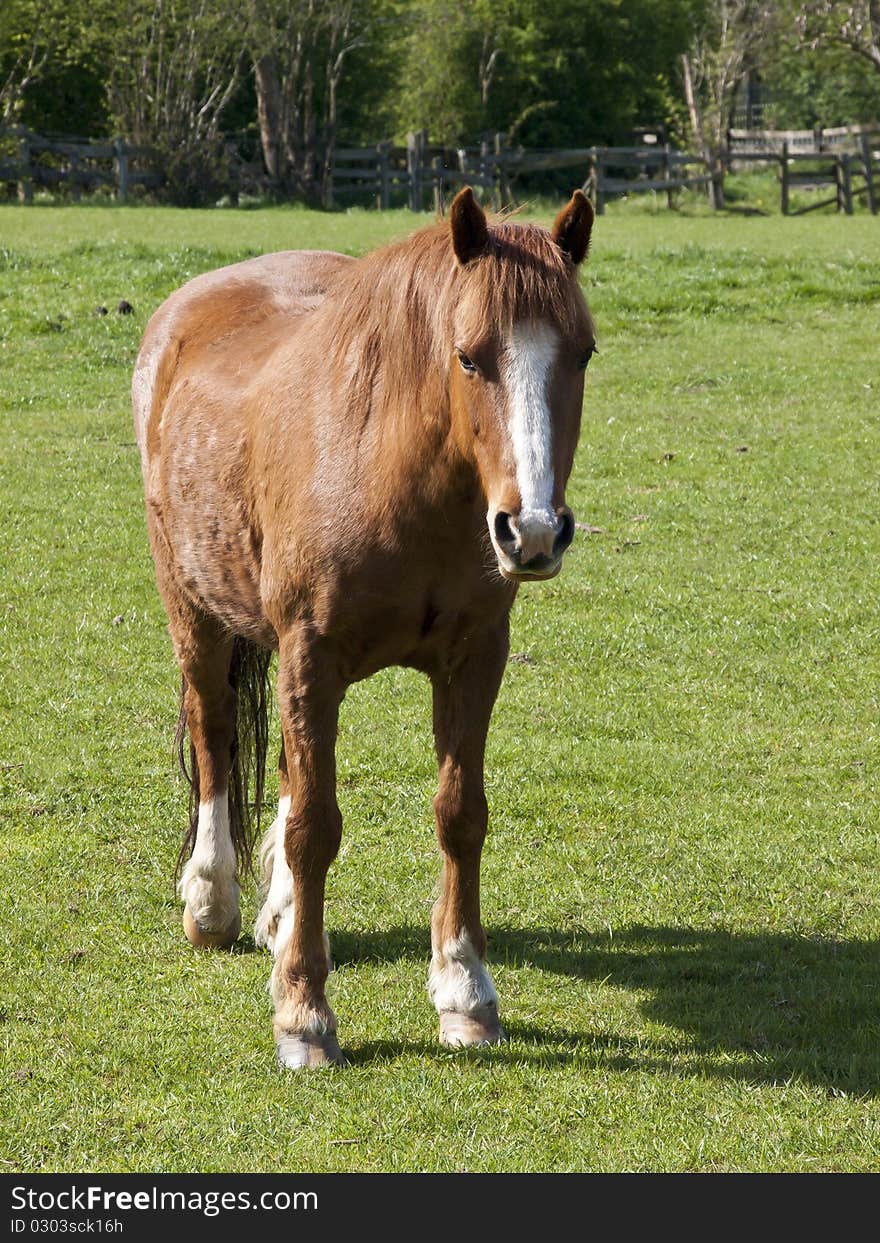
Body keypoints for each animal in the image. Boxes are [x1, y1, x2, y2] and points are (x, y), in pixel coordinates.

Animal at [132, 186, 599, 1068]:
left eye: (583, 353)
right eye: (469, 357)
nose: (532, 531)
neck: (396, 476)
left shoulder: (473, 658)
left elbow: (460, 813)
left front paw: (465, 991)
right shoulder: (311, 657)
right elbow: (315, 826)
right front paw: (304, 1013)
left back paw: (281, 916)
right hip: (195, 614)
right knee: (214, 737)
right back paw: (212, 903)